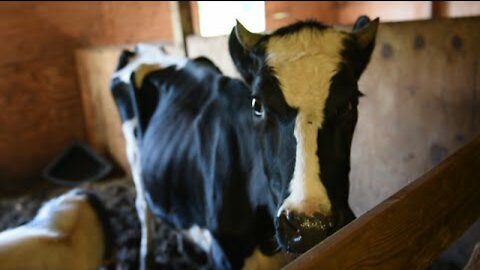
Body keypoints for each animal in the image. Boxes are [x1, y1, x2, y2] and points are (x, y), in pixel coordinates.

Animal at [111, 15, 378, 268]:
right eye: (257, 105)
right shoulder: (225, 253)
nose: (309, 227)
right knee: (142, 208)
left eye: (349, 104)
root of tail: (140, 50)